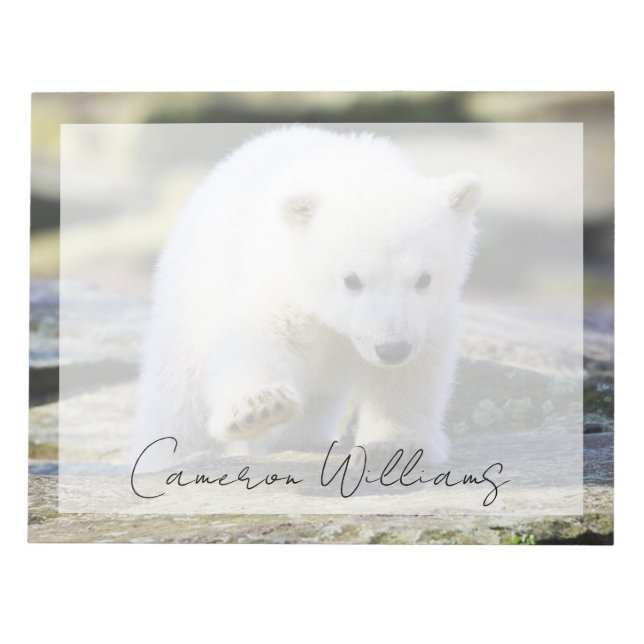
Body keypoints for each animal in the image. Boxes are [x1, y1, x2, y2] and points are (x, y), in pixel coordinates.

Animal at [133, 125, 481, 471]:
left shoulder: (427, 317)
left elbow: (410, 373)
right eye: (351, 280)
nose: (392, 348)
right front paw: (258, 408)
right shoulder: (288, 280)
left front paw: (393, 446)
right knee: (178, 394)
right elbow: (260, 334)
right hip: (191, 291)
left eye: (424, 278)